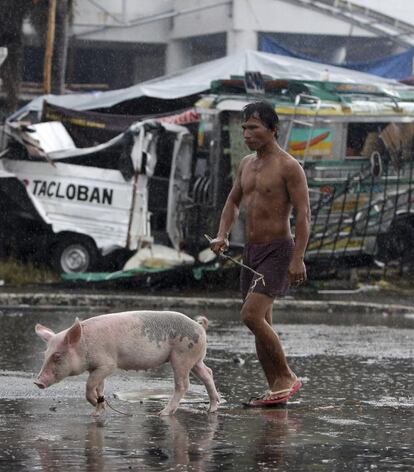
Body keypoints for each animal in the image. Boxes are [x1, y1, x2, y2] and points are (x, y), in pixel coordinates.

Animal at [34, 310, 222, 416]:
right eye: (45, 354)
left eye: (57, 356)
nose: (37, 382)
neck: (84, 345)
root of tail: (200, 327)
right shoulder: (96, 368)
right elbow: (99, 388)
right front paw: (97, 412)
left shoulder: (108, 364)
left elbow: (89, 386)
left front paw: (95, 406)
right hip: (195, 359)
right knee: (208, 373)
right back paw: (212, 408)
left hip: (181, 357)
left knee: (183, 384)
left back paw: (163, 413)